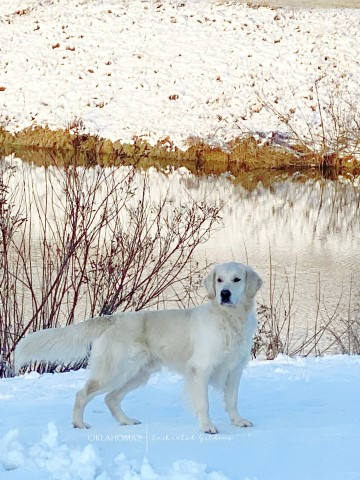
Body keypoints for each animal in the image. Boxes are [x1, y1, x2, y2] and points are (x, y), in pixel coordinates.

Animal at [16, 262, 262, 436]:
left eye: (236, 279)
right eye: (220, 280)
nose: (224, 293)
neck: (229, 319)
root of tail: (112, 318)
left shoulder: (235, 369)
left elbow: (232, 400)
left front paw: (238, 421)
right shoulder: (199, 369)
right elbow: (204, 403)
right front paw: (207, 427)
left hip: (137, 374)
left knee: (111, 398)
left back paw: (126, 421)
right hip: (115, 371)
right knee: (82, 393)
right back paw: (79, 424)